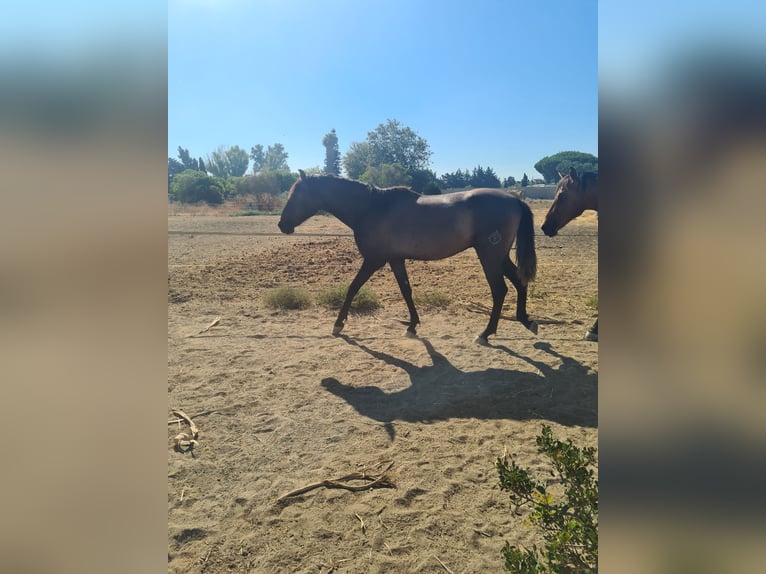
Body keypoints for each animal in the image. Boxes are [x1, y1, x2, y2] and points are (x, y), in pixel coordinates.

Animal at [278, 169, 540, 344]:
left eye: (297, 195)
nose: (282, 225)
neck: (371, 207)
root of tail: (514, 199)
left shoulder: (374, 260)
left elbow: (353, 288)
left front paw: (338, 324)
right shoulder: (395, 260)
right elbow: (406, 290)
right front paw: (412, 326)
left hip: (489, 256)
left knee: (500, 290)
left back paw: (485, 334)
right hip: (499, 256)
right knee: (519, 282)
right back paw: (525, 320)